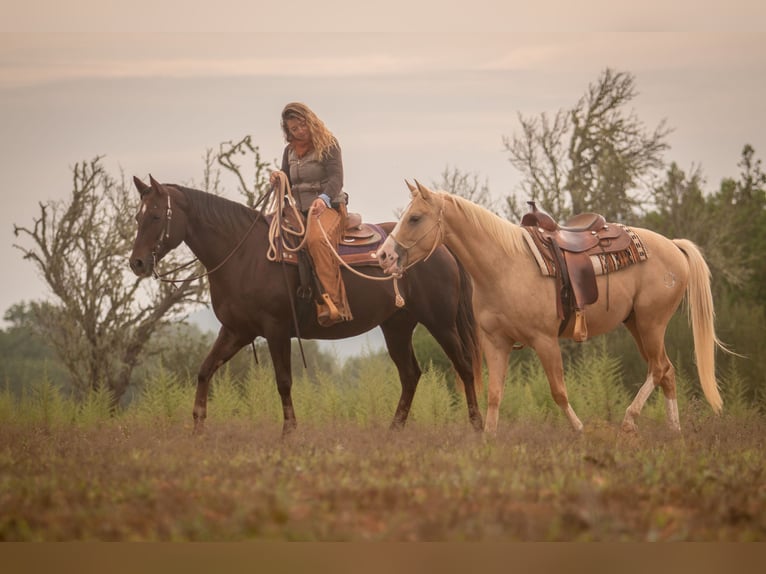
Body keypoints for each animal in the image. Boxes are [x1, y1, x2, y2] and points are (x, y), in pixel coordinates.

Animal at [128, 176, 483, 436]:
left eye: (156, 215)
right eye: (137, 216)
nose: (137, 263)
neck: (243, 255)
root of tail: (442, 249)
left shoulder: (276, 329)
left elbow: (283, 380)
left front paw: (289, 432)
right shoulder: (236, 331)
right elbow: (204, 370)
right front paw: (198, 426)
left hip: (441, 323)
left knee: (464, 366)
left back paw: (476, 425)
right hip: (397, 326)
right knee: (410, 374)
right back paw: (394, 430)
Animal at [377, 180, 727, 435]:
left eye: (415, 218)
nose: (384, 256)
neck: (503, 265)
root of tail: (674, 247)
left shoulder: (544, 341)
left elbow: (558, 390)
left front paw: (580, 429)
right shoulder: (496, 342)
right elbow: (494, 394)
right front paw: (488, 438)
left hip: (652, 323)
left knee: (658, 368)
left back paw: (629, 420)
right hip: (636, 324)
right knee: (666, 370)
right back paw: (674, 430)